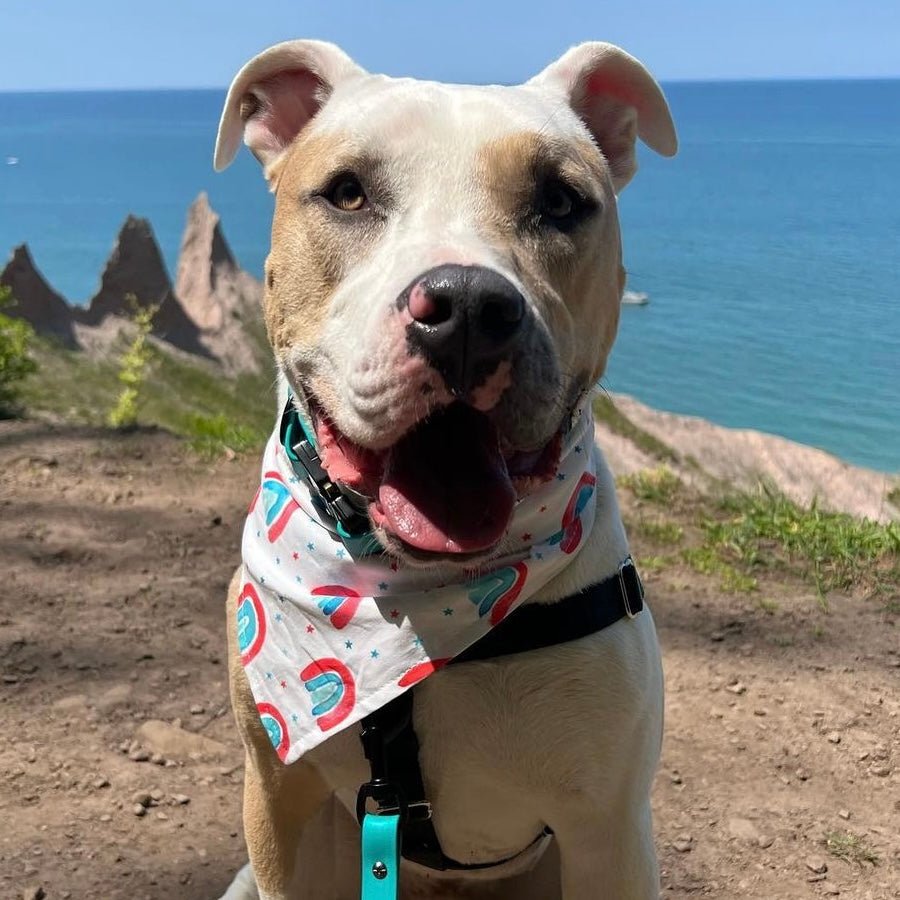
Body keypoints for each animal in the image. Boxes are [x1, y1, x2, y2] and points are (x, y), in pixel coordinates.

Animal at [213, 38, 676, 896]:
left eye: (561, 201)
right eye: (348, 193)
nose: (466, 308)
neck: (414, 600)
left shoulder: (609, 833)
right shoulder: (278, 799)